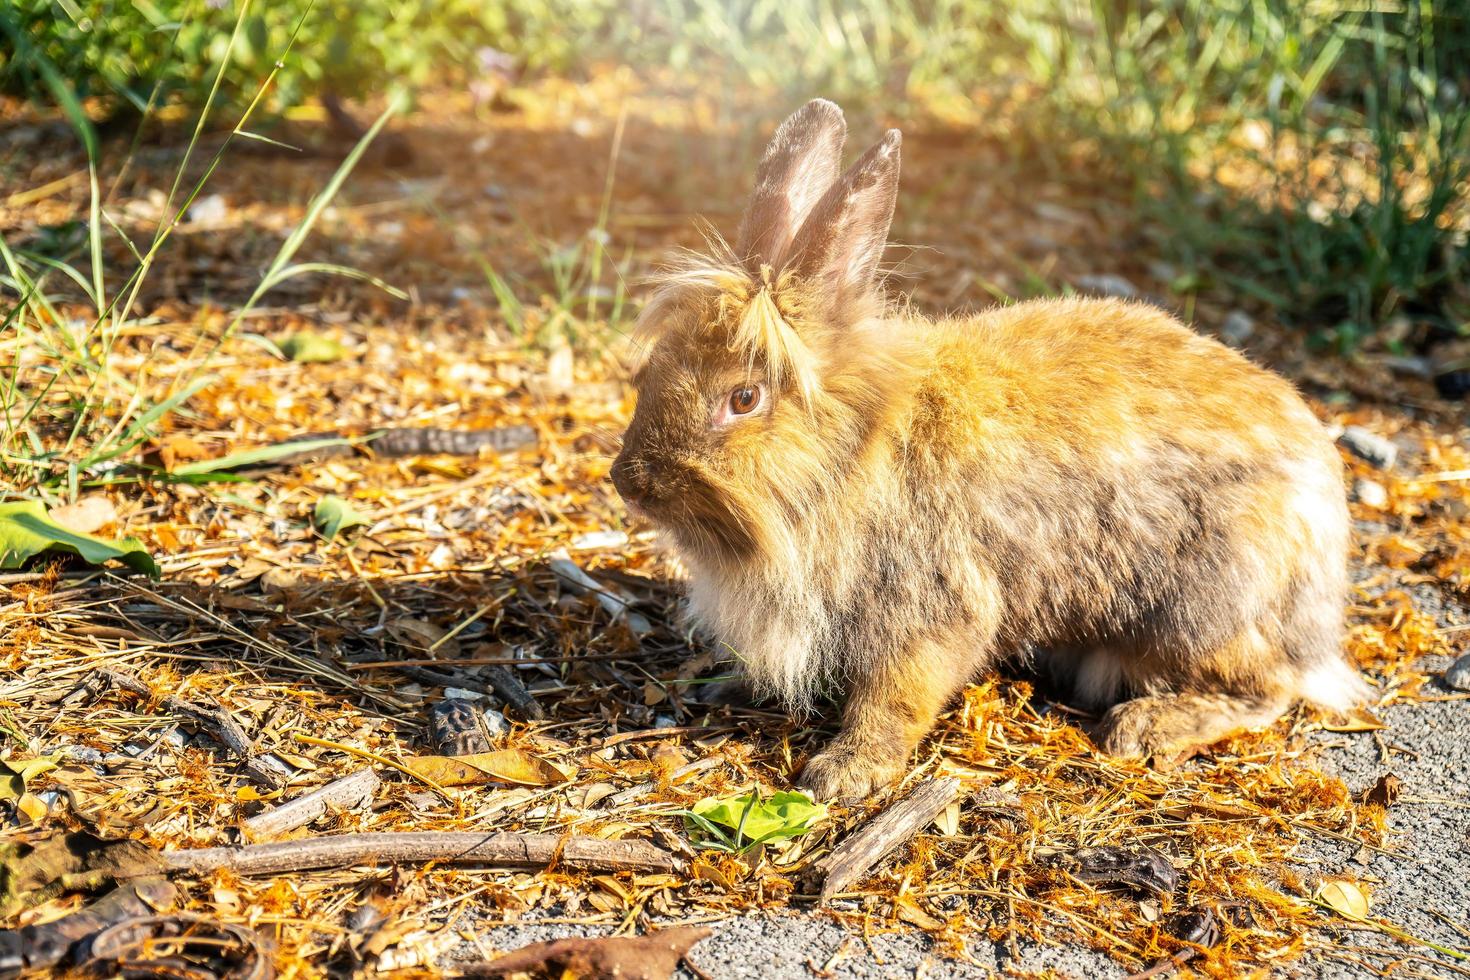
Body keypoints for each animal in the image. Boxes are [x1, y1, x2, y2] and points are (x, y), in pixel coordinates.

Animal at [605, 99, 1364, 799]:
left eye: (743, 399)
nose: (629, 480)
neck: (852, 450)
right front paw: (722, 688)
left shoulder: (932, 607)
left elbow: (898, 697)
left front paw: (844, 774)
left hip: (1203, 610)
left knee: (1267, 688)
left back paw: (1143, 728)